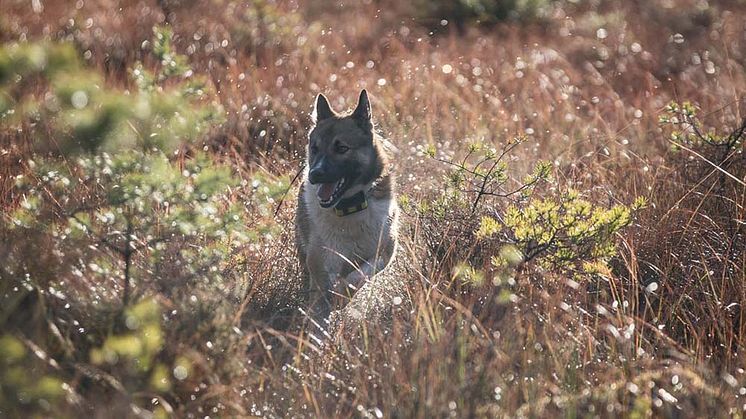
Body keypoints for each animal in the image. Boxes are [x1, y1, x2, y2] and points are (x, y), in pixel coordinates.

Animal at [294, 89, 398, 318]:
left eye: (341, 148)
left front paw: (342, 294)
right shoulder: (321, 261)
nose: (314, 174)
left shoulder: (385, 251)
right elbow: (322, 297)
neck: (349, 207)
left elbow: (360, 275)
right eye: (315, 148)